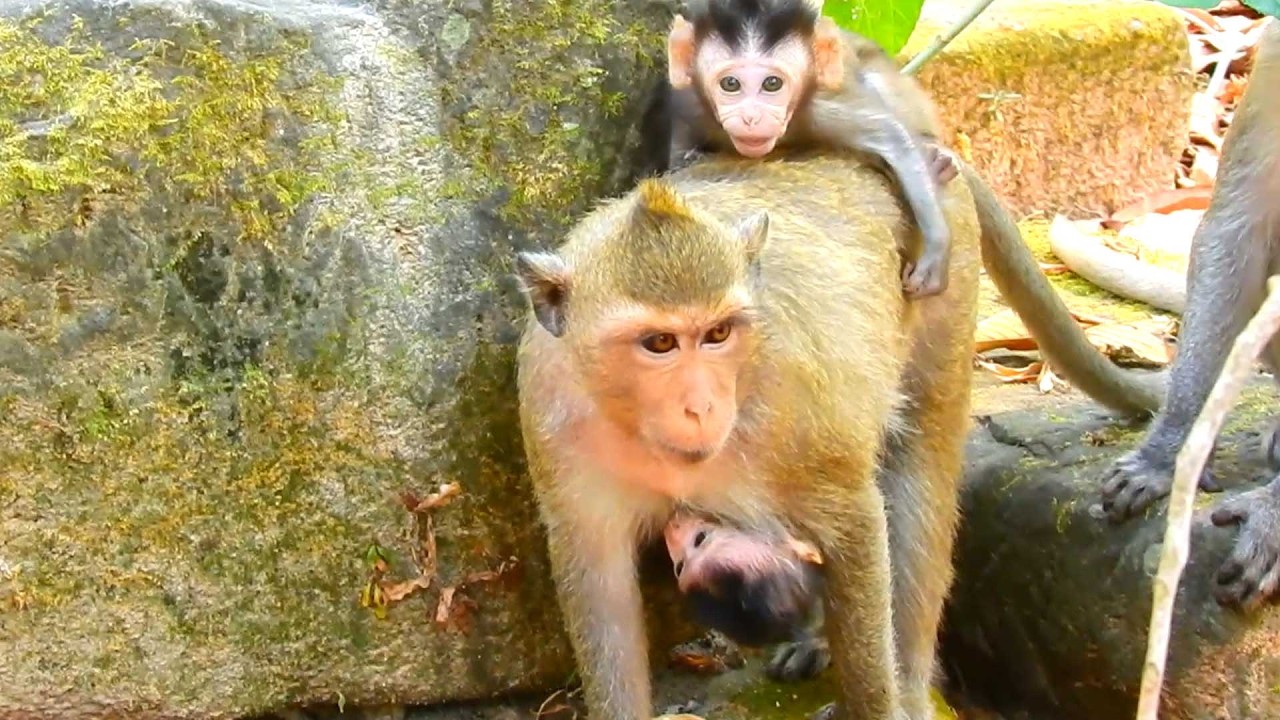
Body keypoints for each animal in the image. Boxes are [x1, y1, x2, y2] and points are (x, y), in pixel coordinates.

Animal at [514, 146, 1163, 720]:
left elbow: (856, 527)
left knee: (916, 476)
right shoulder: (552, 421)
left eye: (718, 333)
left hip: (946, 291)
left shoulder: (802, 419)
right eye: (659, 343)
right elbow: (602, 593)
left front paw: (876, 700)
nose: (701, 406)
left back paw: (909, 680)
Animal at [652, 0, 959, 299]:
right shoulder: (688, 103)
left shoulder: (821, 108)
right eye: (731, 84)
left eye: (772, 83)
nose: (751, 117)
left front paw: (936, 250)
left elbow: (892, 138)